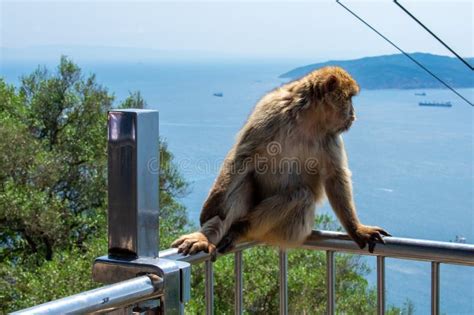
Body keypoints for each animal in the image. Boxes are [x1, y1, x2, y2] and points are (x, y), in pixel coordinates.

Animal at [172, 66, 390, 256]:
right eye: (349, 99)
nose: (354, 115)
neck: (307, 121)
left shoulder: (331, 137)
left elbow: (334, 176)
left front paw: (357, 229)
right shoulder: (271, 113)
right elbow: (242, 157)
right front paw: (212, 204)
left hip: (290, 230)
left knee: (301, 195)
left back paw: (241, 229)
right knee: (242, 184)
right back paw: (205, 237)